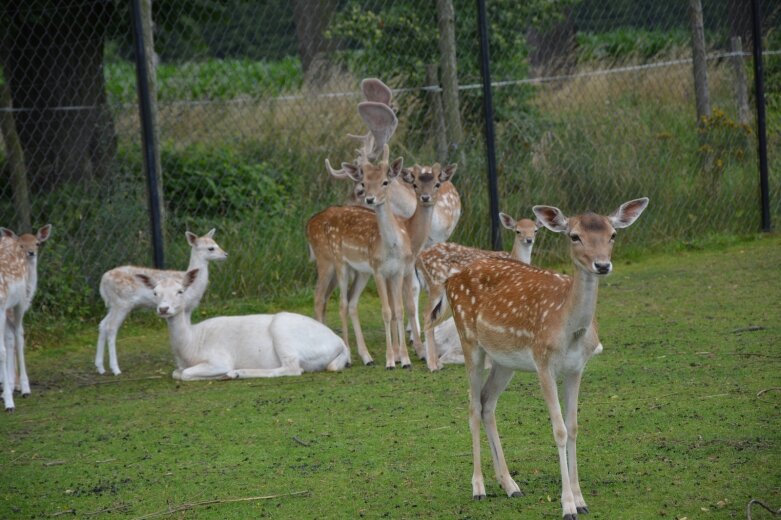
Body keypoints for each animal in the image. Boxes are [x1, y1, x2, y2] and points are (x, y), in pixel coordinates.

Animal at [0, 223, 51, 410]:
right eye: (23, 245)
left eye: (38, 243)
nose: (30, 252)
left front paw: (9, 400)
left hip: (18, 303)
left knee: (18, 336)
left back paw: (24, 388)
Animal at [138, 268, 350, 378]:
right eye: (155, 293)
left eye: (180, 291)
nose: (163, 309)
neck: (190, 346)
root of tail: (341, 344)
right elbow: (176, 372)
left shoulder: (219, 359)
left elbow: (184, 374)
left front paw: (222, 374)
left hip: (283, 330)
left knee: (293, 368)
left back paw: (236, 373)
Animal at [442, 197, 648, 516]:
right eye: (574, 236)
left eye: (613, 234)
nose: (602, 265)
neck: (570, 330)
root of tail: (449, 281)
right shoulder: (543, 363)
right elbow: (559, 429)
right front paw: (567, 505)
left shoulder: (577, 368)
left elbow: (573, 427)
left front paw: (581, 499)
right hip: (469, 340)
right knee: (473, 406)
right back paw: (479, 487)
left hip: (504, 360)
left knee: (488, 402)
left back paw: (510, 485)